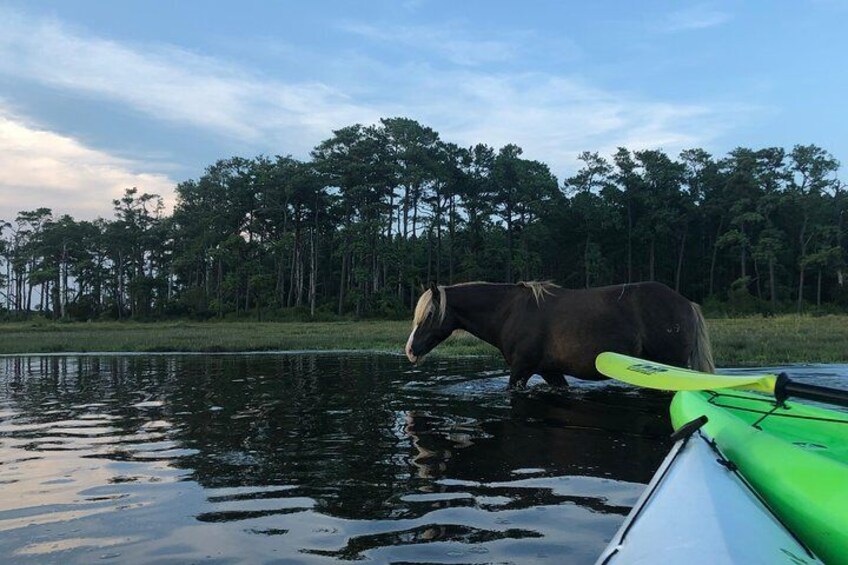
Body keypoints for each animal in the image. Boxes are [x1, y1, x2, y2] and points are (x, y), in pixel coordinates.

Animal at [408, 280, 712, 388]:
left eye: (429, 315)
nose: (410, 350)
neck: (509, 312)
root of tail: (686, 303)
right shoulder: (549, 371)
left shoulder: (521, 369)